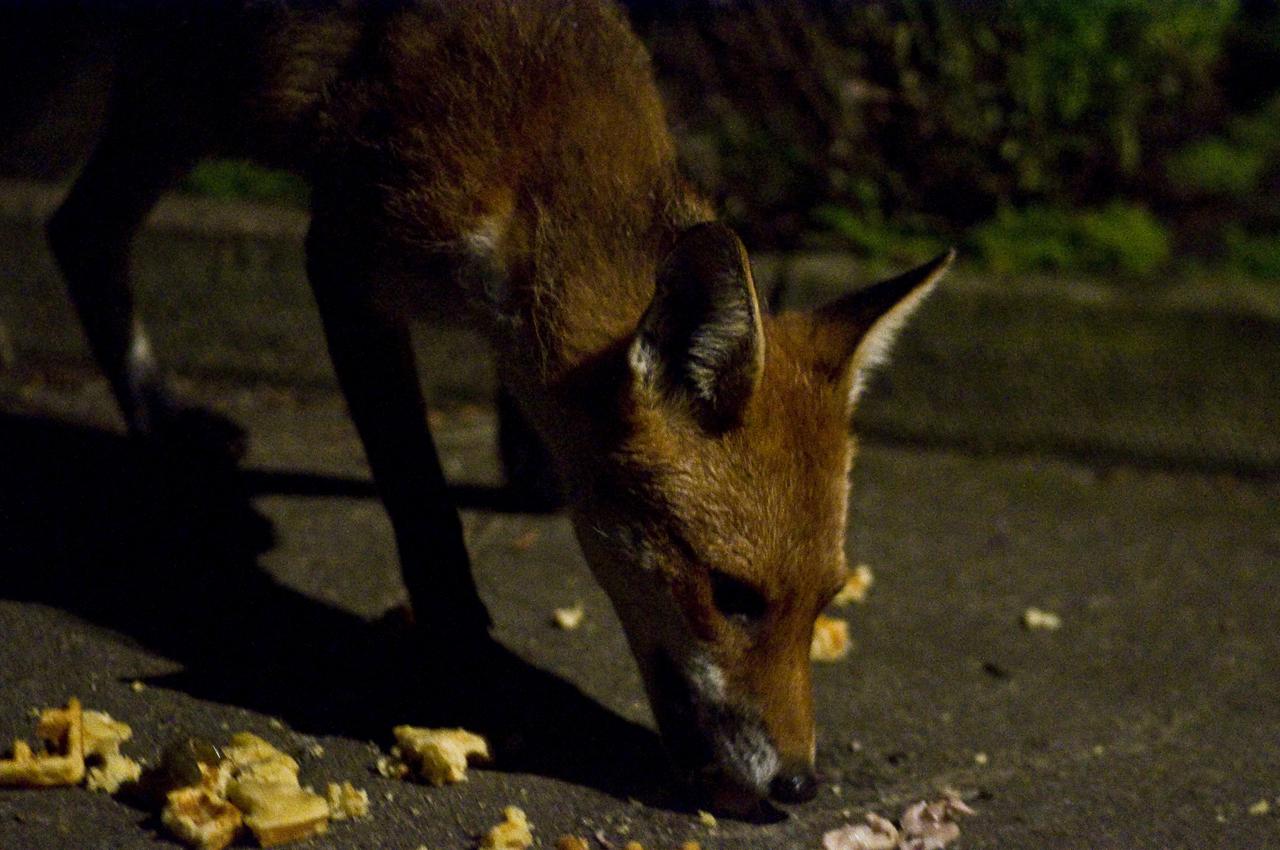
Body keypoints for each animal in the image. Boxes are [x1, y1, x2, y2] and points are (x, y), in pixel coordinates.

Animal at [43, 0, 951, 816]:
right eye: (733, 597)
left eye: (827, 601)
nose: (799, 786)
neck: (535, 143)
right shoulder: (345, 259)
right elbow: (421, 499)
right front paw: (463, 652)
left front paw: (529, 466)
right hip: (201, 97)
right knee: (79, 227)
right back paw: (158, 416)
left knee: (77, 228)